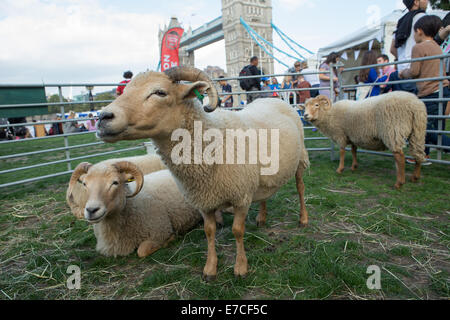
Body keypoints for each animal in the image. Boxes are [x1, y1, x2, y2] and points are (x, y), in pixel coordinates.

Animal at [68, 161, 202, 258]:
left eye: (115, 182)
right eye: (84, 184)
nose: (91, 210)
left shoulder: (161, 231)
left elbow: (141, 251)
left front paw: (171, 239)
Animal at [93, 65, 308, 280]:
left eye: (160, 92)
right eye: (125, 90)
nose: (102, 117)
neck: (213, 140)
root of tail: (271, 98)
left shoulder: (241, 196)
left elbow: (237, 231)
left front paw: (240, 267)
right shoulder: (204, 200)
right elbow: (209, 231)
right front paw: (210, 269)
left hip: (300, 159)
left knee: (300, 188)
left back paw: (303, 219)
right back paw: (262, 218)